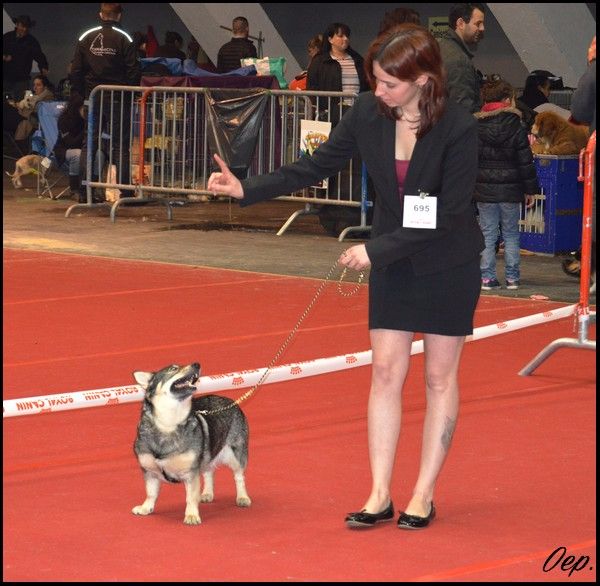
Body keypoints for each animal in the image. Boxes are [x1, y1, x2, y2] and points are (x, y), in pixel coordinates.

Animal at [131, 360, 251, 524]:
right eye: (173, 369)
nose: (197, 364)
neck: (168, 425)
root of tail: (232, 402)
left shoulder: (191, 473)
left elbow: (191, 497)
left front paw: (192, 515)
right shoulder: (149, 472)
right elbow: (151, 493)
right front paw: (145, 508)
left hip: (235, 455)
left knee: (239, 477)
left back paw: (242, 497)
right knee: (208, 472)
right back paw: (207, 493)